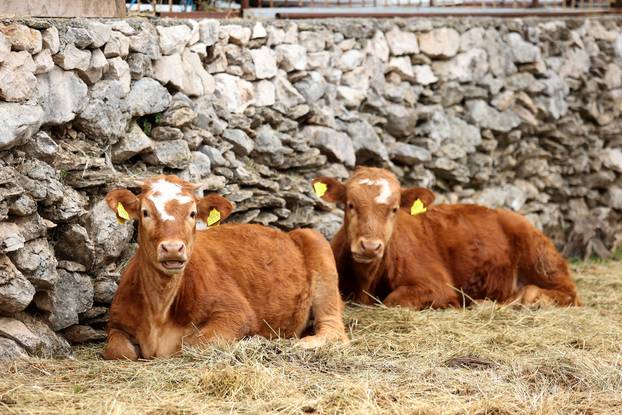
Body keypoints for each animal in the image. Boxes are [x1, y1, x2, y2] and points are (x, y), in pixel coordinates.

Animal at [100, 176, 348, 360]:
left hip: (318, 246)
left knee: (334, 328)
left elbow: (191, 344)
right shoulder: (116, 323)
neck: (159, 311)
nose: (172, 248)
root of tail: (285, 232)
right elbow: (118, 351)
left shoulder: (236, 313)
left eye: (192, 214)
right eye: (145, 212)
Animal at [314, 167, 584, 308]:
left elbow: (393, 299)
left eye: (394, 209)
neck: (366, 283)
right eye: (350, 205)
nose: (370, 246)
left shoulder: (438, 285)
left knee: (568, 293)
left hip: (542, 259)